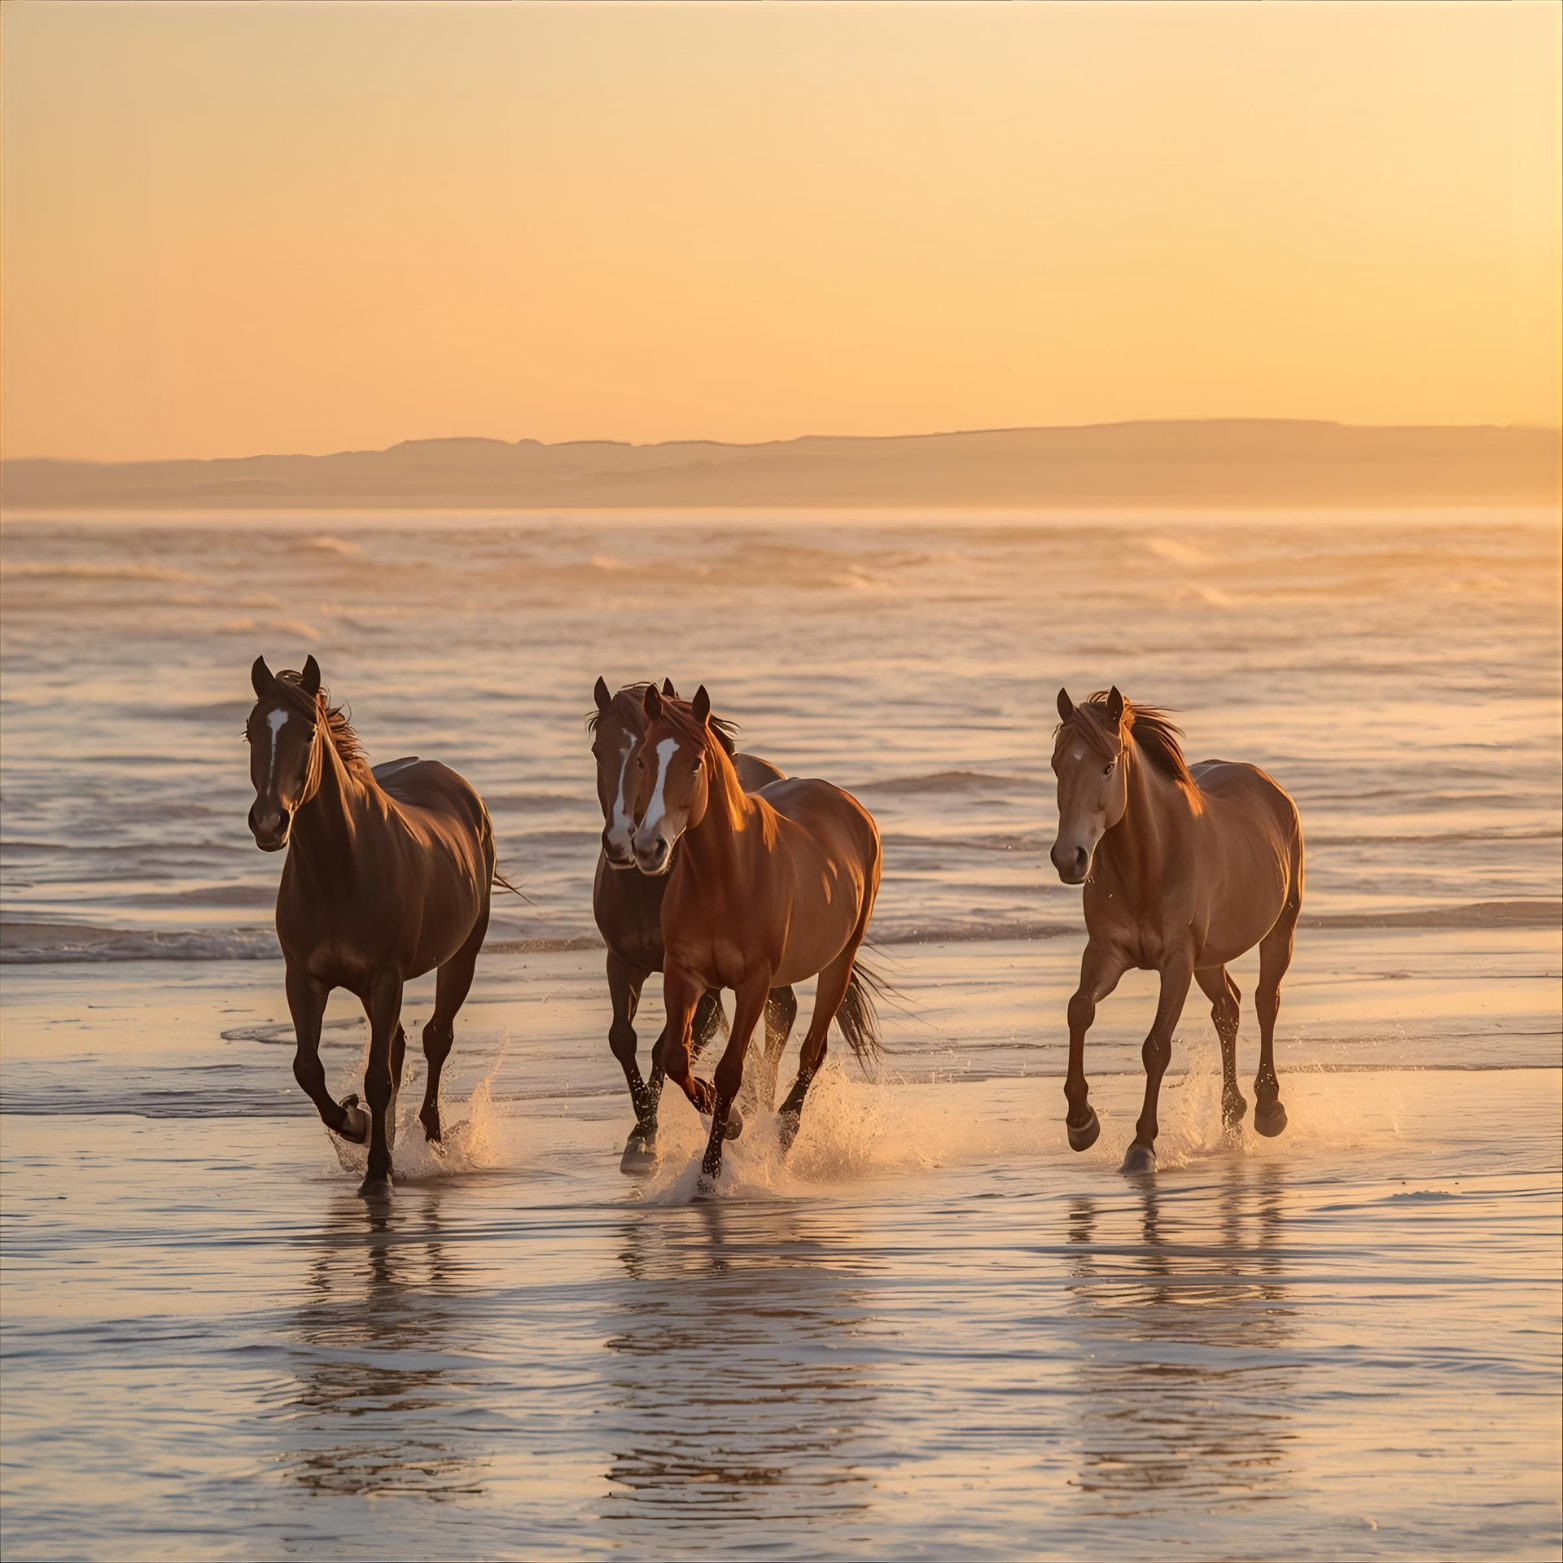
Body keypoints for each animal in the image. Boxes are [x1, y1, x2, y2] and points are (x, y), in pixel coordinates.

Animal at [244, 654, 501, 1194]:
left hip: (461, 956)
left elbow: (378, 1078)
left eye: (308, 733)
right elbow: (308, 1069)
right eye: (251, 732)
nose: (269, 823)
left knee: (435, 1038)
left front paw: (378, 1171)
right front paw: (356, 1126)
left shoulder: (386, 977)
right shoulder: (304, 979)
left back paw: (432, 1139)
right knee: (401, 1046)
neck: (340, 869)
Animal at [589, 677, 798, 1172]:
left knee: (783, 1011)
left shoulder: (702, 983)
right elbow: (623, 1038)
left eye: (640, 754)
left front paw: (652, 1133)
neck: (649, 889)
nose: (622, 842)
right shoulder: (621, 962)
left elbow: (668, 1044)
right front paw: (643, 1131)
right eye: (597, 751)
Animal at [628, 683, 883, 1195]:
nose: (649, 848)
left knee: (812, 1052)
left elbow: (730, 1072)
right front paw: (729, 1122)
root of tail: (850, 805)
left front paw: (710, 1172)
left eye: (695, 763)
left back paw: (784, 1134)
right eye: (643, 759)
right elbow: (675, 1057)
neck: (724, 876)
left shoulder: (753, 983)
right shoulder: (684, 975)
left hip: (839, 962)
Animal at [1050, 687, 1304, 1174]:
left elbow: (1156, 1047)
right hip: (1210, 959)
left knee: (1266, 1001)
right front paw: (1080, 1122)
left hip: (1279, 930)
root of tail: (1272, 788)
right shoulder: (1107, 953)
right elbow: (1078, 1011)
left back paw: (1269, 1109)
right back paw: (1232, 1113)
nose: (1068, 858)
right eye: (1056, 765)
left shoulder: (1177, 962)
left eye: (1107, 766)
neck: (1150, 860)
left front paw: (1142, 1146)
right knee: (1228, 1010)